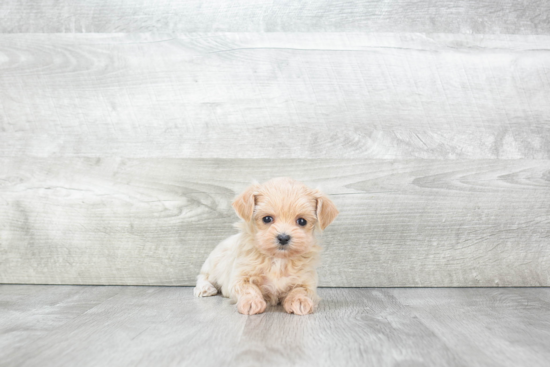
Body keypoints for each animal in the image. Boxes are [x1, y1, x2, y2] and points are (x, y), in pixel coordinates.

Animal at [194, 178, 340, 316]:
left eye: (302, 221)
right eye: (267, 219)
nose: (283, 237)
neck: (279, 260)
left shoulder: (306, 281)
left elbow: (300, 290)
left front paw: (299, 301)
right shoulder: (239, 278)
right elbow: (248, 288)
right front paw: (251, 301)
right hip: (213, 265)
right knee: (203, 276)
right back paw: (205, 288)